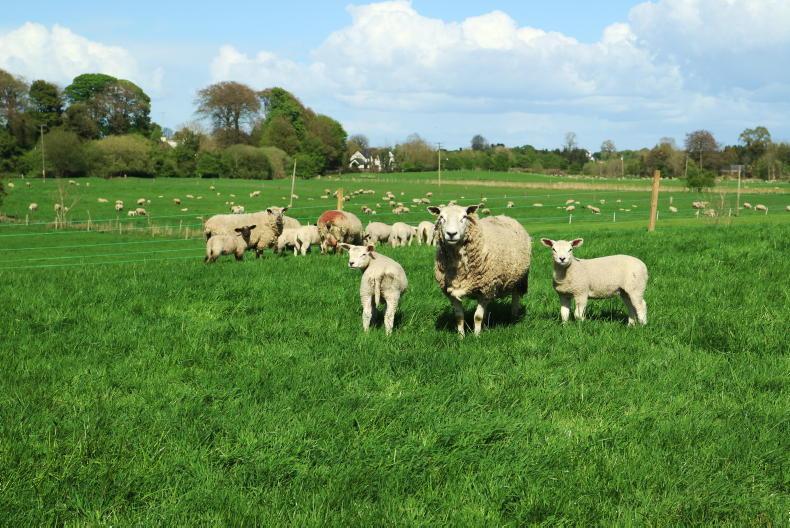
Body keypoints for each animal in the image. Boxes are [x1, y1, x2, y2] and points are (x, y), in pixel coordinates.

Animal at [428, 204, 532, 337]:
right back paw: (485, 326)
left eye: (464, 217)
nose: (451, 234)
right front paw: (461, 336)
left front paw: (476, 336)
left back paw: (514, 318)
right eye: (441, 217)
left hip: (519, 280)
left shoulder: (485, 288)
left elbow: (477, 316)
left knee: (515, 299)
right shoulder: (451, 291)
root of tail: (506, 217)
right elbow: (459, 317)